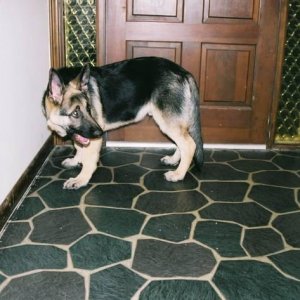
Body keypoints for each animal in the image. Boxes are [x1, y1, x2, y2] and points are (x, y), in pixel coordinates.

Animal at [42, 57, 204, 189]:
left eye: (88, 109)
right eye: (75, 113)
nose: (100, 133)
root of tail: (183, 72)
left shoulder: (92, 136)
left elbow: (88, 160)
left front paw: (81, 179)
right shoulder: (83, 133)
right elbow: (79, 146)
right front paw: (76, 161)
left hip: (166, 122)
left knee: (189, 144)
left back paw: (178, 174)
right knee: (183, 143)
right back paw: (174, 160)